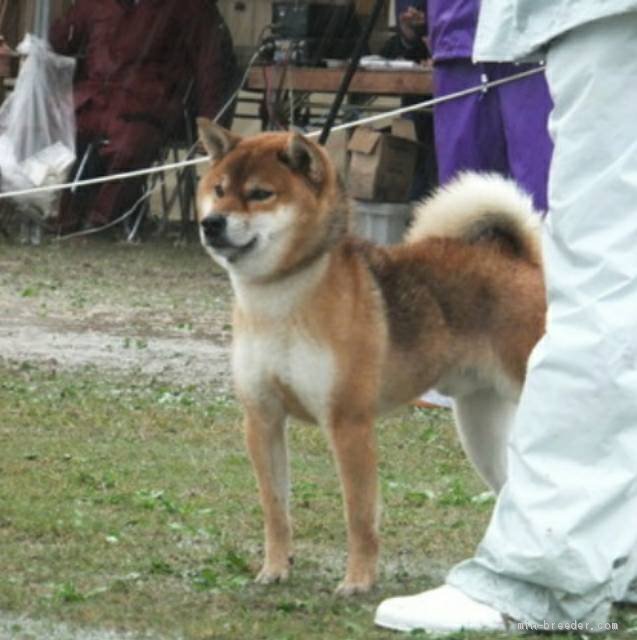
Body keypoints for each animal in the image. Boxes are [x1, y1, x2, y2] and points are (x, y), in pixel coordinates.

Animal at [196, 120, 544, 596]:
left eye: (260, 193)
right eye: (219, 189)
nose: (210, 223)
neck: (282, 298)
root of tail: (521, 261)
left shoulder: (348, 423)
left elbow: (359, 514)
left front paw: (358, 580)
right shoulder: (262, 418)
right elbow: (275, 508)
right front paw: (275, 568)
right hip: (480, 427)